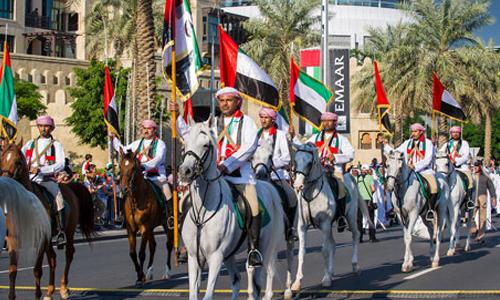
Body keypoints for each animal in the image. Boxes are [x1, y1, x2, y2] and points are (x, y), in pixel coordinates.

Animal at [0, 141, 95, 300]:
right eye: (1, 158)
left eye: (18, 162)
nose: (5, 180)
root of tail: (70, 187)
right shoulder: (14, 239)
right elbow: (12, 269)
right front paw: (11, 296)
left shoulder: (40, 239)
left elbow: (37, 269)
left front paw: (37, 295)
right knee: (53, 259)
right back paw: (50, 292)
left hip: (68, 232)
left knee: (69, 254)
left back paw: (63, 288)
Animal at [118, 149, 174, 284]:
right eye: (120, 166)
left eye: (133, 167)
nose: (124, 189)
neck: (136, 199)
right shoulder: (131, 229)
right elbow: (132, 253)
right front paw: (141, 275)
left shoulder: (144, 228)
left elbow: (141, 253)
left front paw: (140, 277)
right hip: (151, 228)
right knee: (153, 246)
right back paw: (149, 272)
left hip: (167, 226)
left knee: (169, 245)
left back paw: (167, 272)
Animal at [179, 119, 290, 300]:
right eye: (185, 145)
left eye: (205, 145)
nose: (185, 171)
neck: (204, 210)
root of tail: (268, 187)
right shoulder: (194, 258)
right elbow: (194, 294)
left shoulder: (216, 257)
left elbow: (208, 295)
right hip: (230, 255)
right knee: (237, 280)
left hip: (264, 247)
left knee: (260, 276)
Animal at [292, 143, 370, 290]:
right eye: (295, 160)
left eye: (310, 162)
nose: (297, 185)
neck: (312, 194)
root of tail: (350, 177)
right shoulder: (302, 226)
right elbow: (301, 252)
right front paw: (297, 282)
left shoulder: (325, 224)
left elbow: (324, 250)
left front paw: (326, 278)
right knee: (333, 244)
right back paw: (331, 270)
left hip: (350, 217)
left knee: (355, 235)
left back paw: (355, 266)